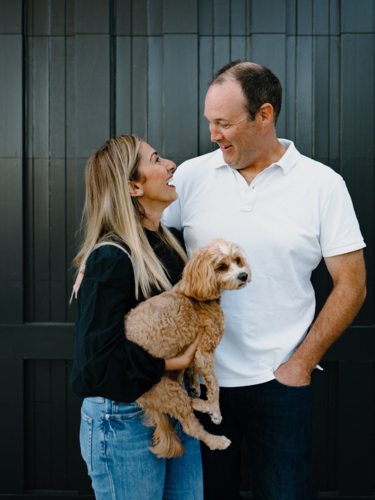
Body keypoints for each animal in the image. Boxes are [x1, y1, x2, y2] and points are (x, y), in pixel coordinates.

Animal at [126, 238, 253, 458]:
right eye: (222, 266)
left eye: (237, 260)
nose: (243, 275)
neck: (195, 295)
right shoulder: (204, 350)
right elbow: (214, 384)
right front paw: (216, 411)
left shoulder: (192, 350)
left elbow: (193, 371)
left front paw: (196, 388)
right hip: (167, 390)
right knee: (190, 426)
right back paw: (215, 439)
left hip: (172, 381)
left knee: (186, 400)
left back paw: (201, 403)